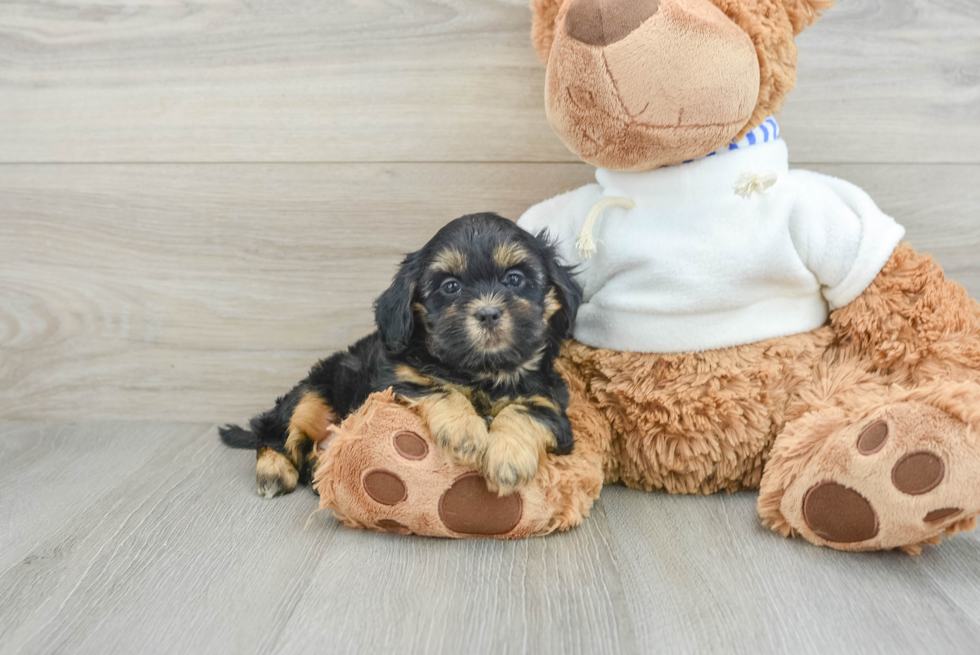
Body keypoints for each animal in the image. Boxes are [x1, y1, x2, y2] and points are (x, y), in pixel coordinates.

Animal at [218, 214, 580, 498]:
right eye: (450, 287)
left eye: (514, 279)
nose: (489, 313)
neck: (480, 371)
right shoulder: (394, 380)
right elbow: (437, 387)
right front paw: (466, 432)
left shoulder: (551, 404)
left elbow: (526, 410)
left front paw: (508, 459)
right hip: (312, 391)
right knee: (273, 433)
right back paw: (274, 471)